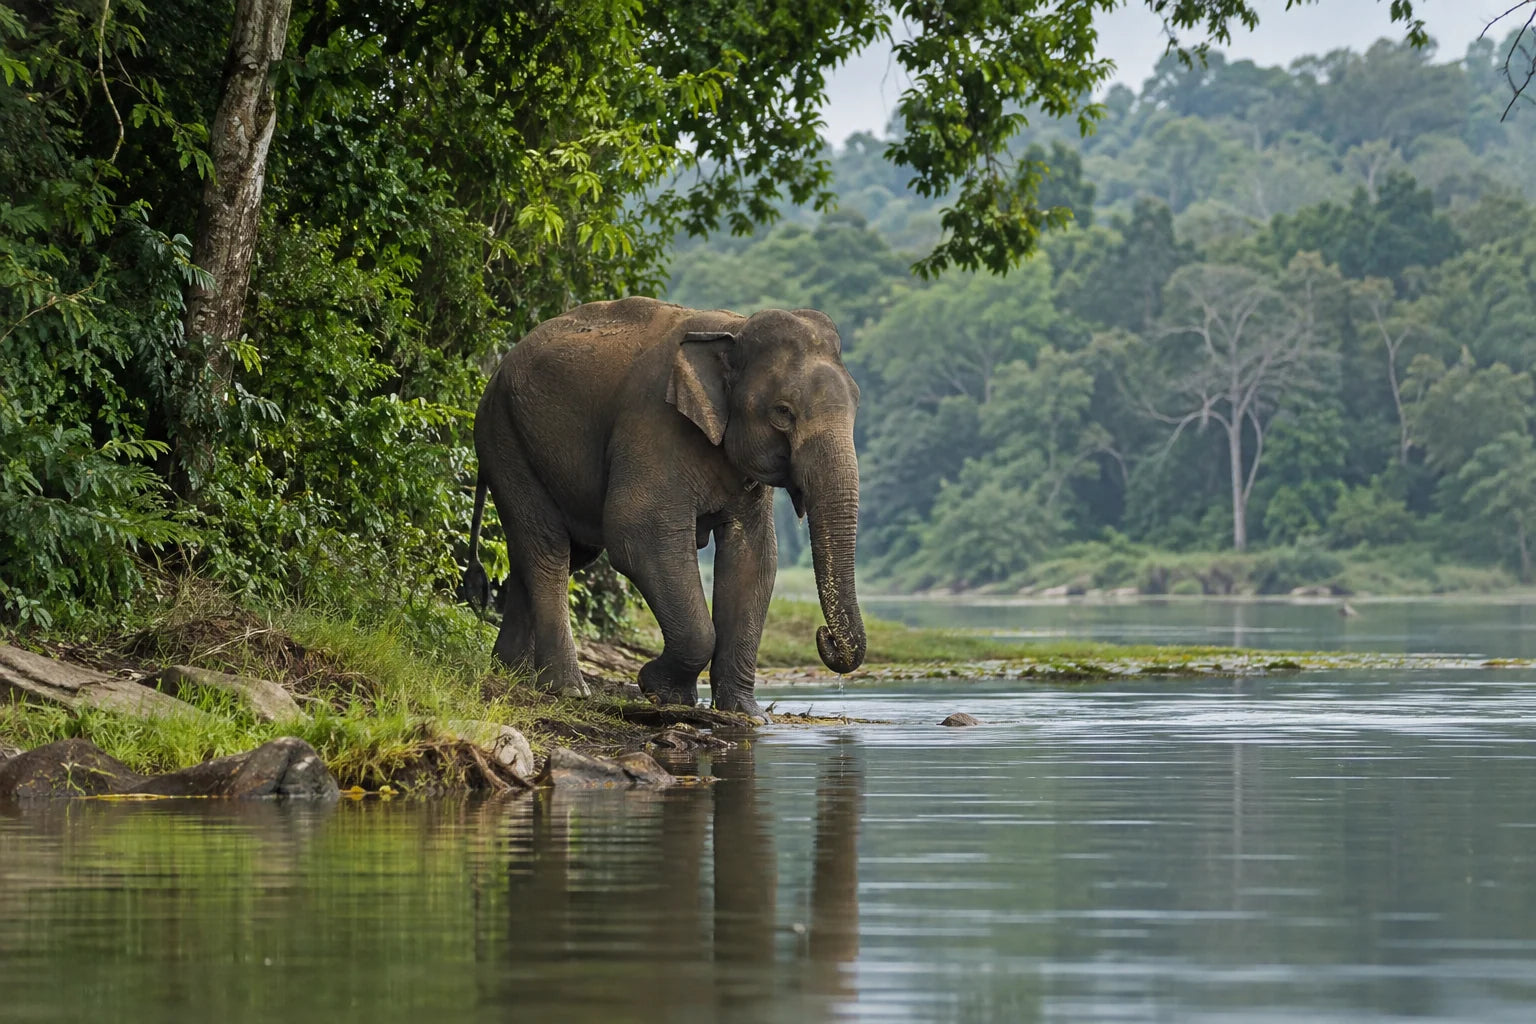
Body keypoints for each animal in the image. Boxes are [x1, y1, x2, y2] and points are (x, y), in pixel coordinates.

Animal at [462, 296, 866, 718]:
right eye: (783, 412)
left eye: (857, 404)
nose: (825, 635)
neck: (734, 329)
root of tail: (495, 373)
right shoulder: (653, 423)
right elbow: (638, 534)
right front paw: (661, 691)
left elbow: (753, 557)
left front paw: (745, 714)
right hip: (503, 438)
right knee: (548, 549)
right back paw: (568, 690)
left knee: (557, 553)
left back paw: (512, 671)